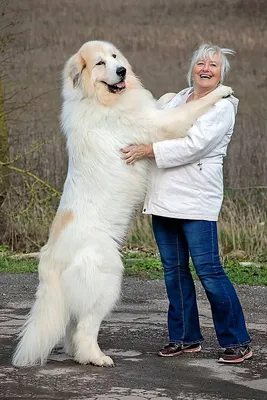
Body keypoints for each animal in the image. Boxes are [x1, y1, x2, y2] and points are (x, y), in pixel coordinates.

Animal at [12, 39, 232, 366]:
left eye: (114, 56)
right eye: (100, 63)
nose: (121, 71)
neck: (99, 98)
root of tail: (50, 259)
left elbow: (164, 101)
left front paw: (170, 95)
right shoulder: (160, 125)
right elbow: (189, 108)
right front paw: (222, 91)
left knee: (73, 325)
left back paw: (77, 354)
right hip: (108, 277)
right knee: (86, 326)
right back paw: (96, 357)